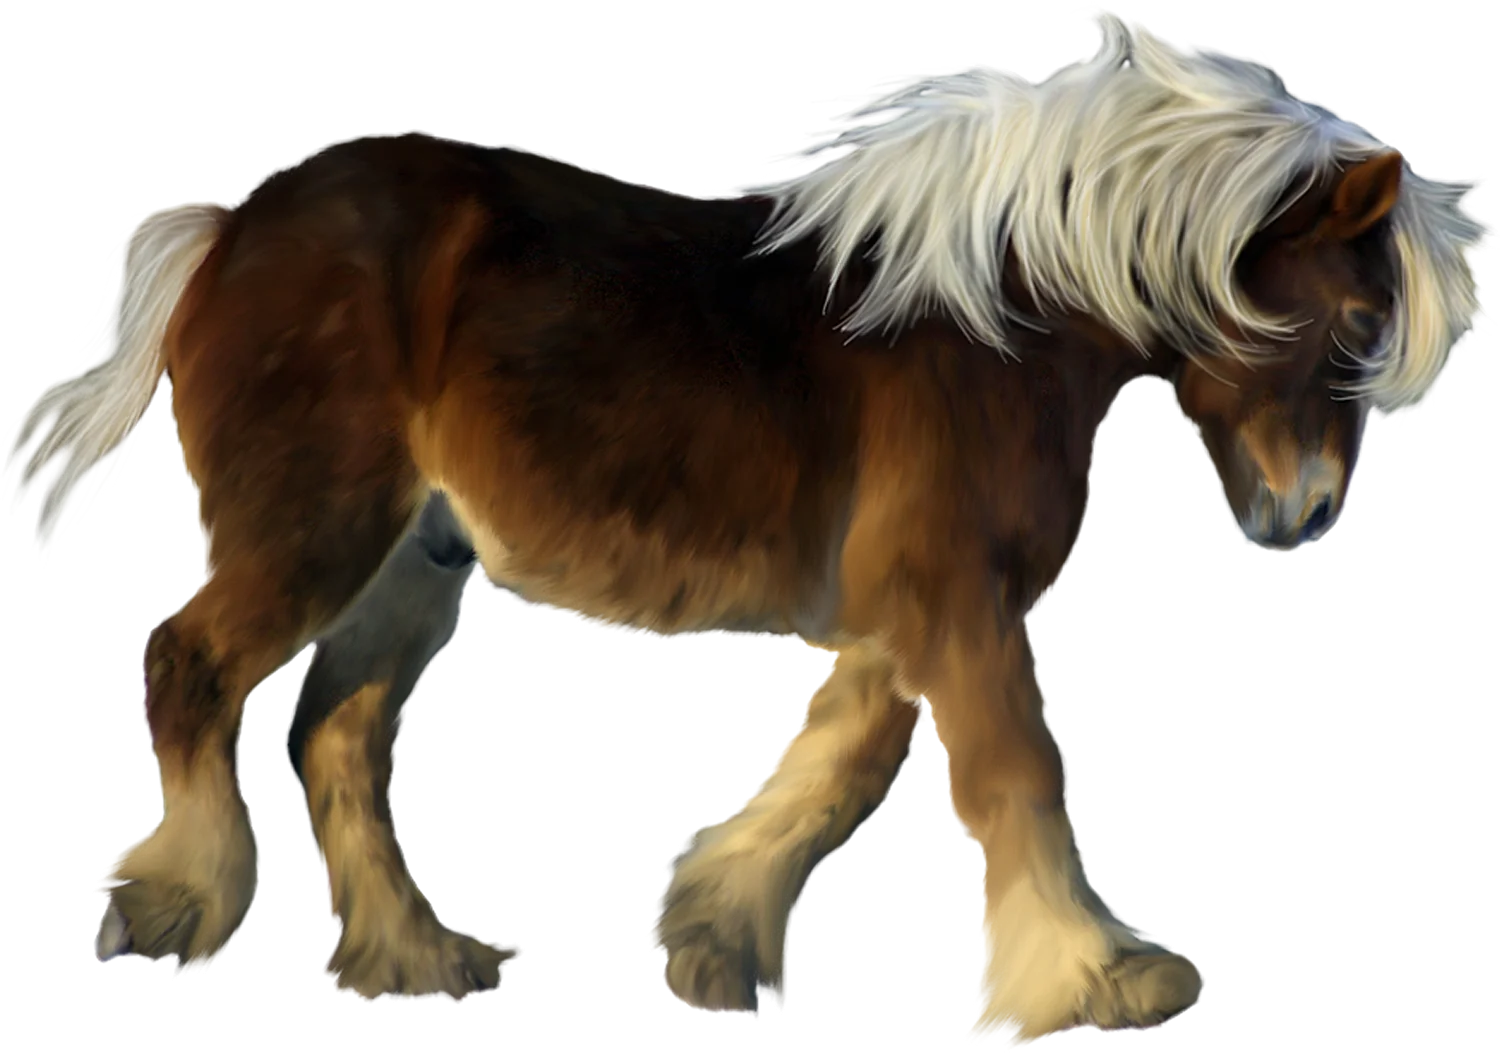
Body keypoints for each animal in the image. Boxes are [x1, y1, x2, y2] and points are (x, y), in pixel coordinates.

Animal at [3, 9, 1491, 1048]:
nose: (1302, 515)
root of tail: (233, 223)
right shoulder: (956, 603)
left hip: (414, 562)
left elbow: (838, 769)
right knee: (193, 666)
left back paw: (415, 960)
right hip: (317, 529)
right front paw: (1101, 980)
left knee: (340, 733)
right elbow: (1016, 774)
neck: (1000, 317)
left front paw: (716, 939)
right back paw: (175, 907)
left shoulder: (913, 618)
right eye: (1355, 318)